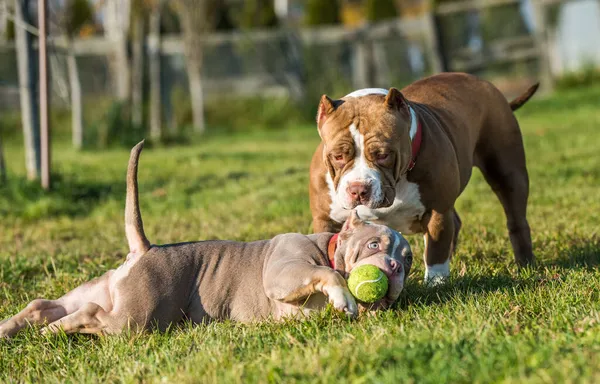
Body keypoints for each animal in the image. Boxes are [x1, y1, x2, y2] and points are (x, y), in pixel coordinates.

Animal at [0, 141, 412, 336]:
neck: (327, 246)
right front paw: (343, 294)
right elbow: (329, 275)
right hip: (134, 317)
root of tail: (145, 248)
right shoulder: (284, 272)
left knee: (47, 305)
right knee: (90, 315)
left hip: (102, 290)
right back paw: (51, 332)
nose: (394, 266)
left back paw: (18, 330)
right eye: (374, 245)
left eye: (408, 260)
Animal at [312, 72, 536, 284]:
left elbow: (435, 252)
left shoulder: (437, 211)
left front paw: (436, 284)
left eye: (383, 155)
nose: (358, 189)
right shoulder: (325, 220)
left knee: (516, 219)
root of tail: (482, 81)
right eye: (338, 156)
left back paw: (525, 264)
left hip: (508, 172)